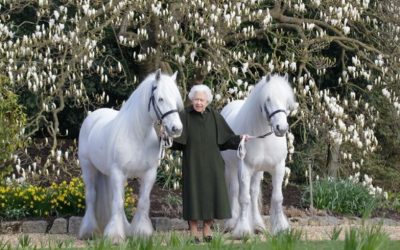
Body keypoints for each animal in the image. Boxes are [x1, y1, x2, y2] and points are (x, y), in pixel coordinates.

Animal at [77, 69, 183, 242]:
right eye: (160, 99)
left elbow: (143, 202)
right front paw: (114, 236)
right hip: (88, 168)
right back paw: (89, 231)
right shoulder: (118, 173)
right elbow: (118, 203)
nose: (176, 128)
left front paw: (141, 232)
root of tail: (94, 115)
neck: (137, 135)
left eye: (176, 99)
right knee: (91, 197)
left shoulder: (149, 174)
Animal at [220, 74, 296, 238]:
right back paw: (232, 223)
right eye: (268, 99)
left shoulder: (278, 168)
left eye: (286, 100)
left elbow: (277, 198)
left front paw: (281, 228)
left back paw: (258, 225)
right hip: (231, 167)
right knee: (235, 191)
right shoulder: (244, 169)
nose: (281, 128)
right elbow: (243, 199)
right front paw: (242, 230)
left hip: (258, 171)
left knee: (254, 193)